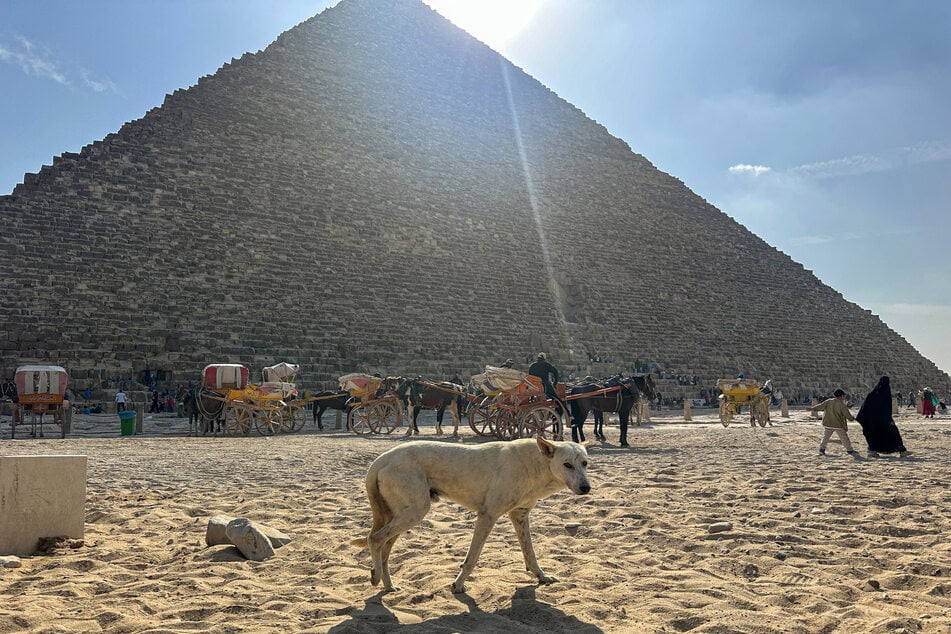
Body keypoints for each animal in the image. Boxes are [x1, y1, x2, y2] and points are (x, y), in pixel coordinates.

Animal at [352, 434, 588, 592]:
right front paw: (458, 585)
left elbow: (530, 554)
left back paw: (386, 584)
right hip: (415, 512)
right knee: (374, 539)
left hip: (401, 516)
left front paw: (542, 577)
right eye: (567, 464)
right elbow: (472, 558)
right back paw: (377, 578)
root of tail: (381, 459)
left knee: (384, 548)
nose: (586, 488)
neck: (538, 463)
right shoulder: (487, 516)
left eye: (585, 463)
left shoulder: (519, 516)